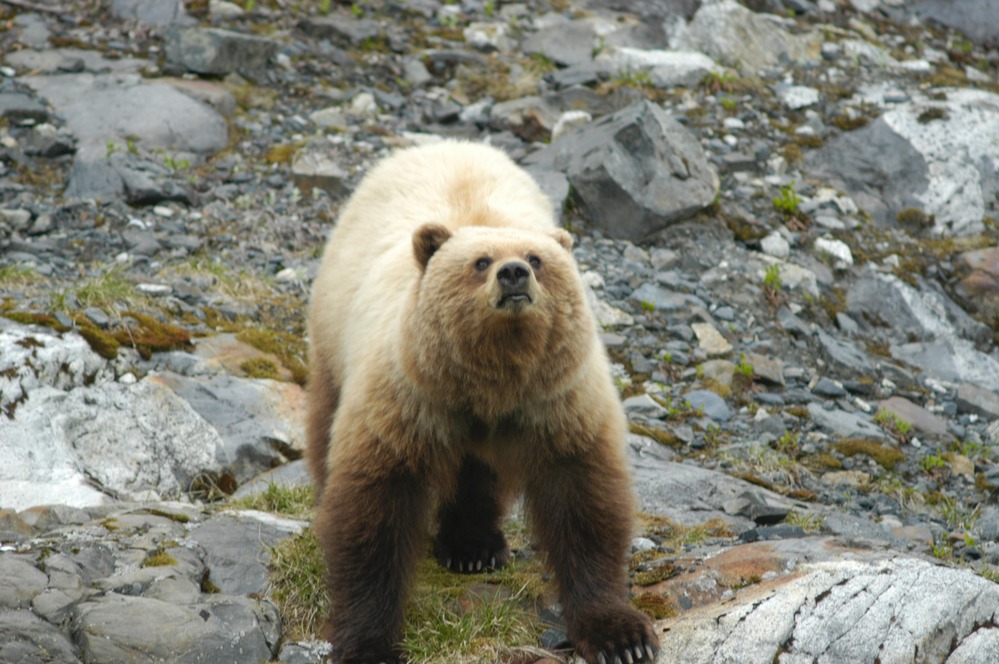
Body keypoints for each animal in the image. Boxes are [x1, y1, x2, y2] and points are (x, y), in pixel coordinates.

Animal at [305, 140, 659, 664]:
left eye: (536, 258)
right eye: (480, 261)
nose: (513, 273)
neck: (492, 378)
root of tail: (446, 142)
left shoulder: (557, 402)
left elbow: (584, 501)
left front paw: (622, 636)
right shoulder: (408, 398)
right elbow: (374, 510)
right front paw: (369, 644)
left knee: (478, 472)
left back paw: (474, 545)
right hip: (334, 326)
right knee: (326, 418)